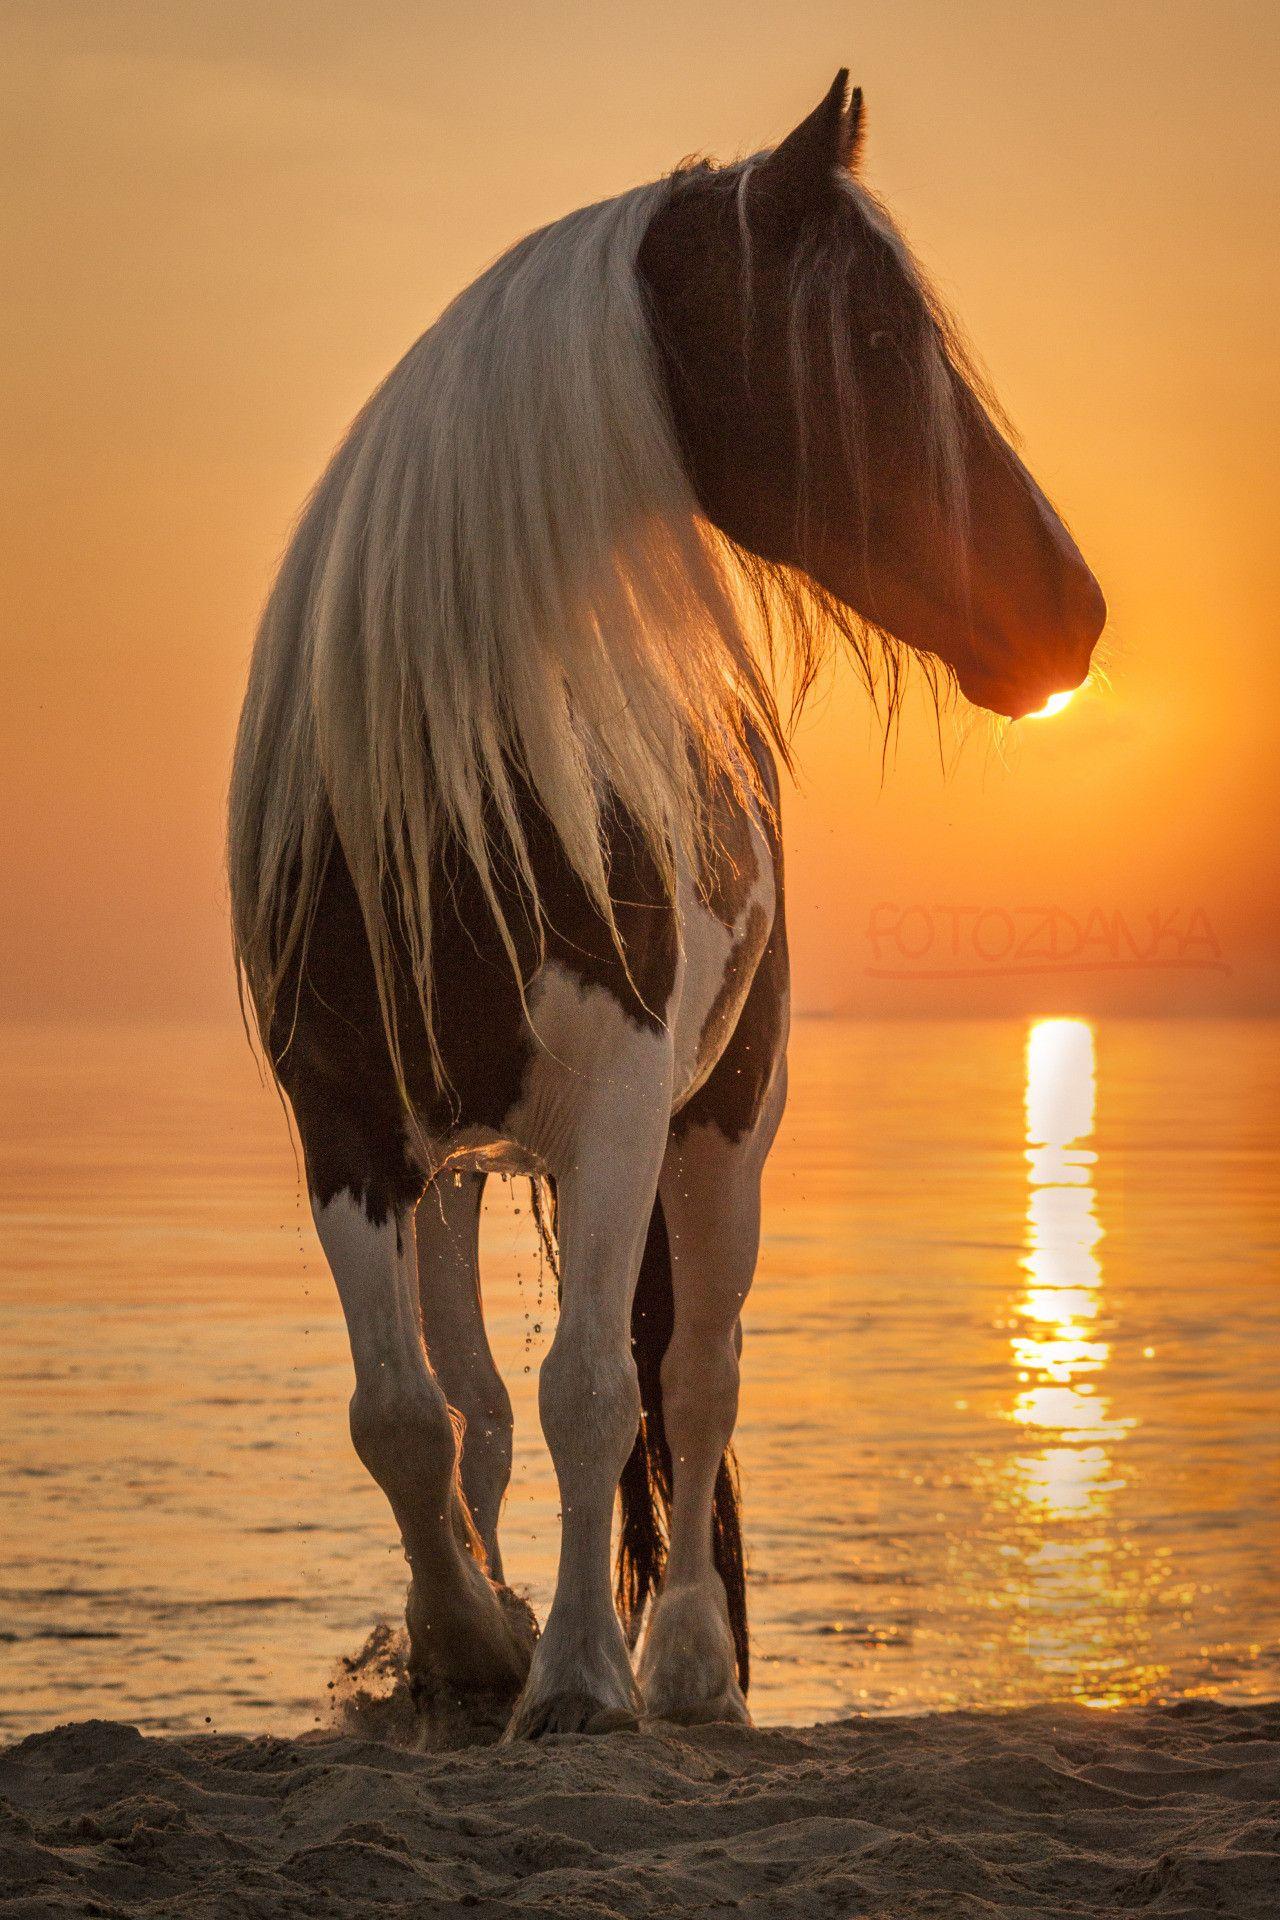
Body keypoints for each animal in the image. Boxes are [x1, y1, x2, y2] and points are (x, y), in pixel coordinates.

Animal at [227, 71, 1105, 1740]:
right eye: (875, 340)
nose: (1074, 613)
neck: (461, 782)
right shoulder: (343, 1122)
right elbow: (406, 1416)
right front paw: (468, 1643)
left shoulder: (630, 1097)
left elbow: (601, 1392)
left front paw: (580, 1675)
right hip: (464, 1169)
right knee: (481, 1405)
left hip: (722, 1123)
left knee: (695, 1377)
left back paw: (689, 1658)